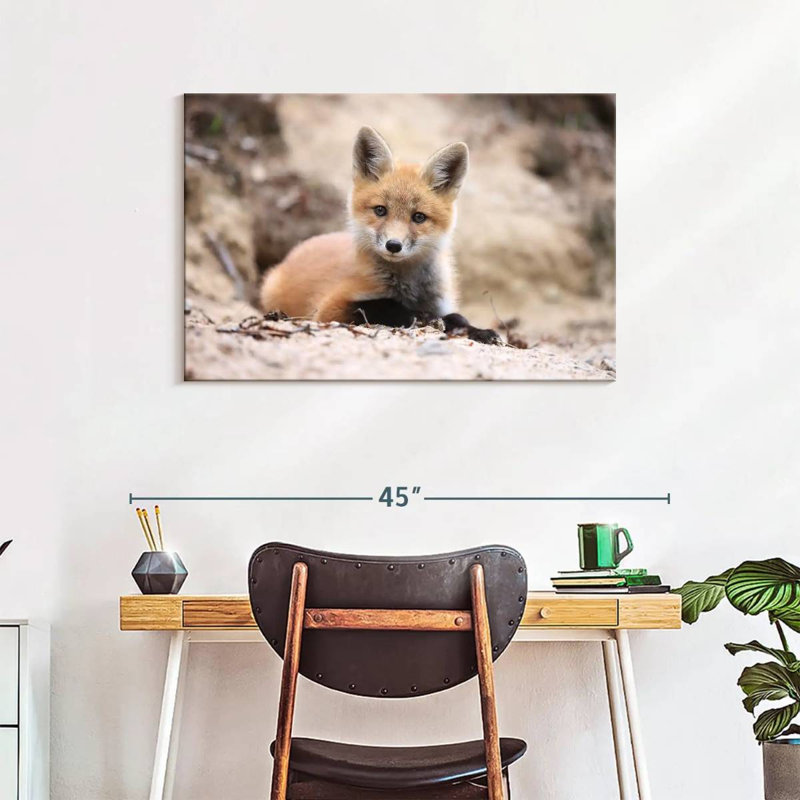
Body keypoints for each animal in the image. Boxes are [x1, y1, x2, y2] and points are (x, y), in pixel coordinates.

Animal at [259, 126, 500, 343]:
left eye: (418, 217)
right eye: (380, 210)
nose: (393, 245)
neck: (409, 288)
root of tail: (296, 250)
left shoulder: (442, 303)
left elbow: (459, 317)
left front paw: (480, 331)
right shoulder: (329, 309)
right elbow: (385, 306)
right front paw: (423, 317)